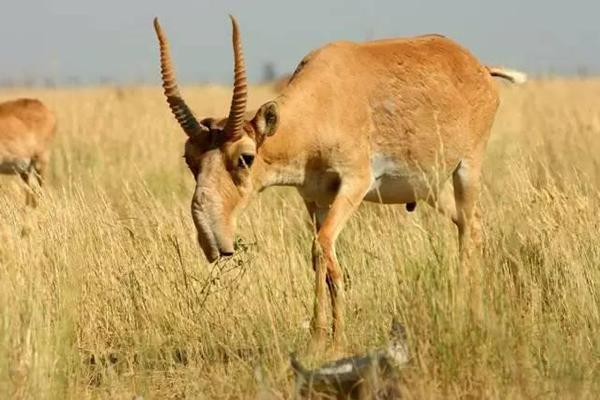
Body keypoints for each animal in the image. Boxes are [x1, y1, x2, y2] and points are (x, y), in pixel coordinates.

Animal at [154, 15, 524, 348]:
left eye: (245, 156)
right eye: (190, 158)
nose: (213, 240)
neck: (323, 104)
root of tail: (478, 67)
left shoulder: (354, 184)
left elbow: (323, 247)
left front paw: (337, 338)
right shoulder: (314, 198)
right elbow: (318, 255)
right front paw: (319, 337)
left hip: (467, 169)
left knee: (470, 231)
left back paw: (468, 312)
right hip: (433, 188)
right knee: (471, 224)